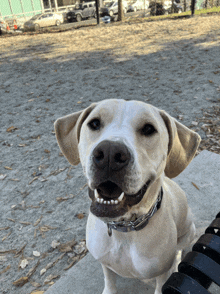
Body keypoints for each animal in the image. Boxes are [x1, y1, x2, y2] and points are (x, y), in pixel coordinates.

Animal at [54, 99, 200, 294]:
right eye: (94, 123)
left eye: (148, 129)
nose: (109, 153)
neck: (125, 228)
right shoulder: (105, 262)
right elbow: (109, 280)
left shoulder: (162, 273)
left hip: (188, 230)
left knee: (180, 249)